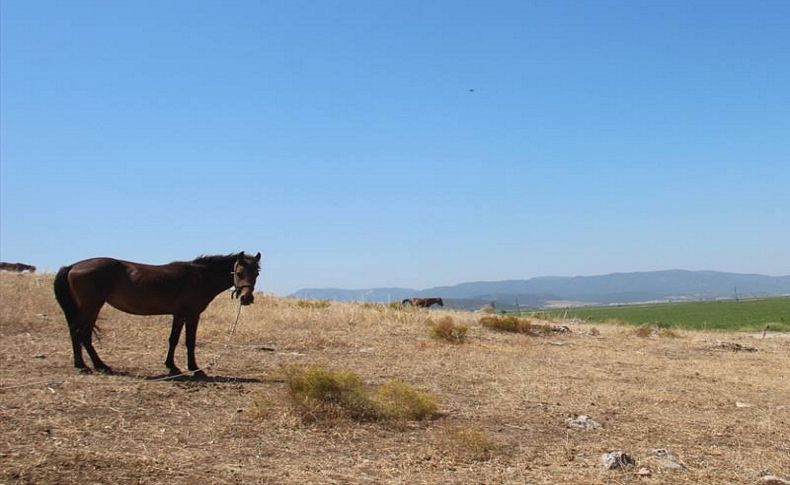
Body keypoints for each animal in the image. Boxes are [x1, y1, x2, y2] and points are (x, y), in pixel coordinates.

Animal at [53, 251, 262, 376]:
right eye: (239, 272)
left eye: (257, 273)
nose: (246, 298)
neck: (200, 277)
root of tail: (72, 266)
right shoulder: (192, 314)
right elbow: (189, 341)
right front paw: (195, 369)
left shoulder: (179, 315)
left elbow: (173, 340)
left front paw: (172, 366)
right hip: (92, 306)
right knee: (79, 332)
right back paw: (86, 365)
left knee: (82, 334)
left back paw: (96, 365)